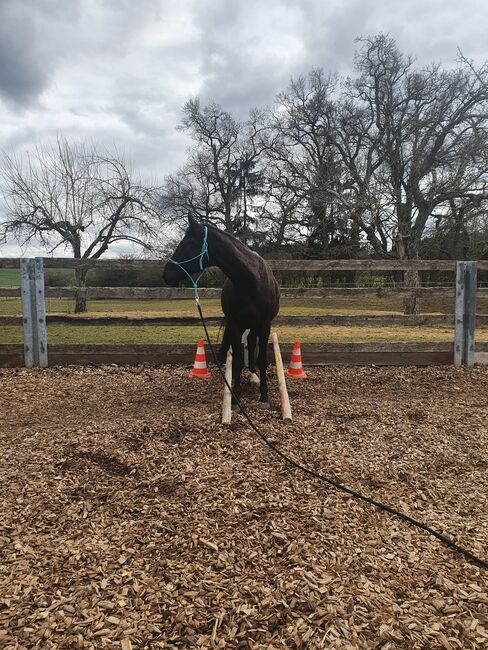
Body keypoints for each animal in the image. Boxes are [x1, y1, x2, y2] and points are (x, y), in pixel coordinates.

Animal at [163, 214, 280, 404]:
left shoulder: (264, 325)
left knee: (251, 343)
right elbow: (238, 360)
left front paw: (264, 394)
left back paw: (253, 374)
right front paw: (236, 395)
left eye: (189, 243)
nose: (166, 274)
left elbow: (262, 359)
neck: (251, 281)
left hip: (254, 326)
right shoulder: (235, 324)